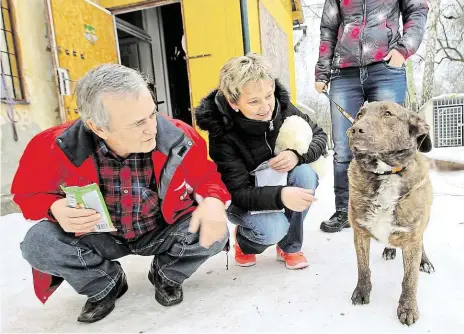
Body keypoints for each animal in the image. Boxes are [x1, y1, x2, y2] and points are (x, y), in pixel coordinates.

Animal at [348, 102, 436, 326]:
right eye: (359, 115)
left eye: (388, 114)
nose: (354, 130)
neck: (385, 174)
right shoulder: (360, 232)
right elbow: (363, 267)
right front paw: (362, 291)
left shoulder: (412, 235)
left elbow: (409, 279)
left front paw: (408, 308)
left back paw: (425, 261)